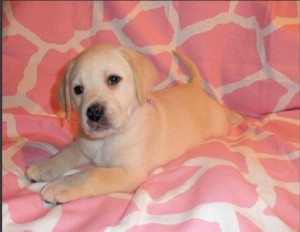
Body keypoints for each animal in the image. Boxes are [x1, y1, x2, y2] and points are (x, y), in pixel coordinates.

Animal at [25, 44, 241, 204]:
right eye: (78, 89)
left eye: (113, 79)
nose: (93, 112)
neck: (107, 140)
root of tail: (193, 86)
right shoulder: (83, 144)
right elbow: (65, 153)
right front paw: (45, 166)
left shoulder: (129, 172)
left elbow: (94, 174)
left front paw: (63, 185)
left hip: (218, 123)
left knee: (223, 113)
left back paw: (236, 116)